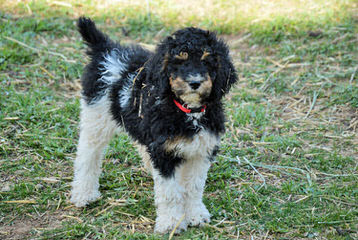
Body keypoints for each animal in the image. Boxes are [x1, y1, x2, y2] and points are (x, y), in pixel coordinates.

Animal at [70, 17, 238, 234]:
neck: (188, 111)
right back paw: (84, 194)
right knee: (87, 155)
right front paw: (171, 223)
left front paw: (196, 215)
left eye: (207, 60)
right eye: (179, 60)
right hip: (96, 116)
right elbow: (170, 192)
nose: (194, 82)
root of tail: (107, 49)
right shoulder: (164, 153)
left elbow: (194, 186)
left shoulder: (202, 150)